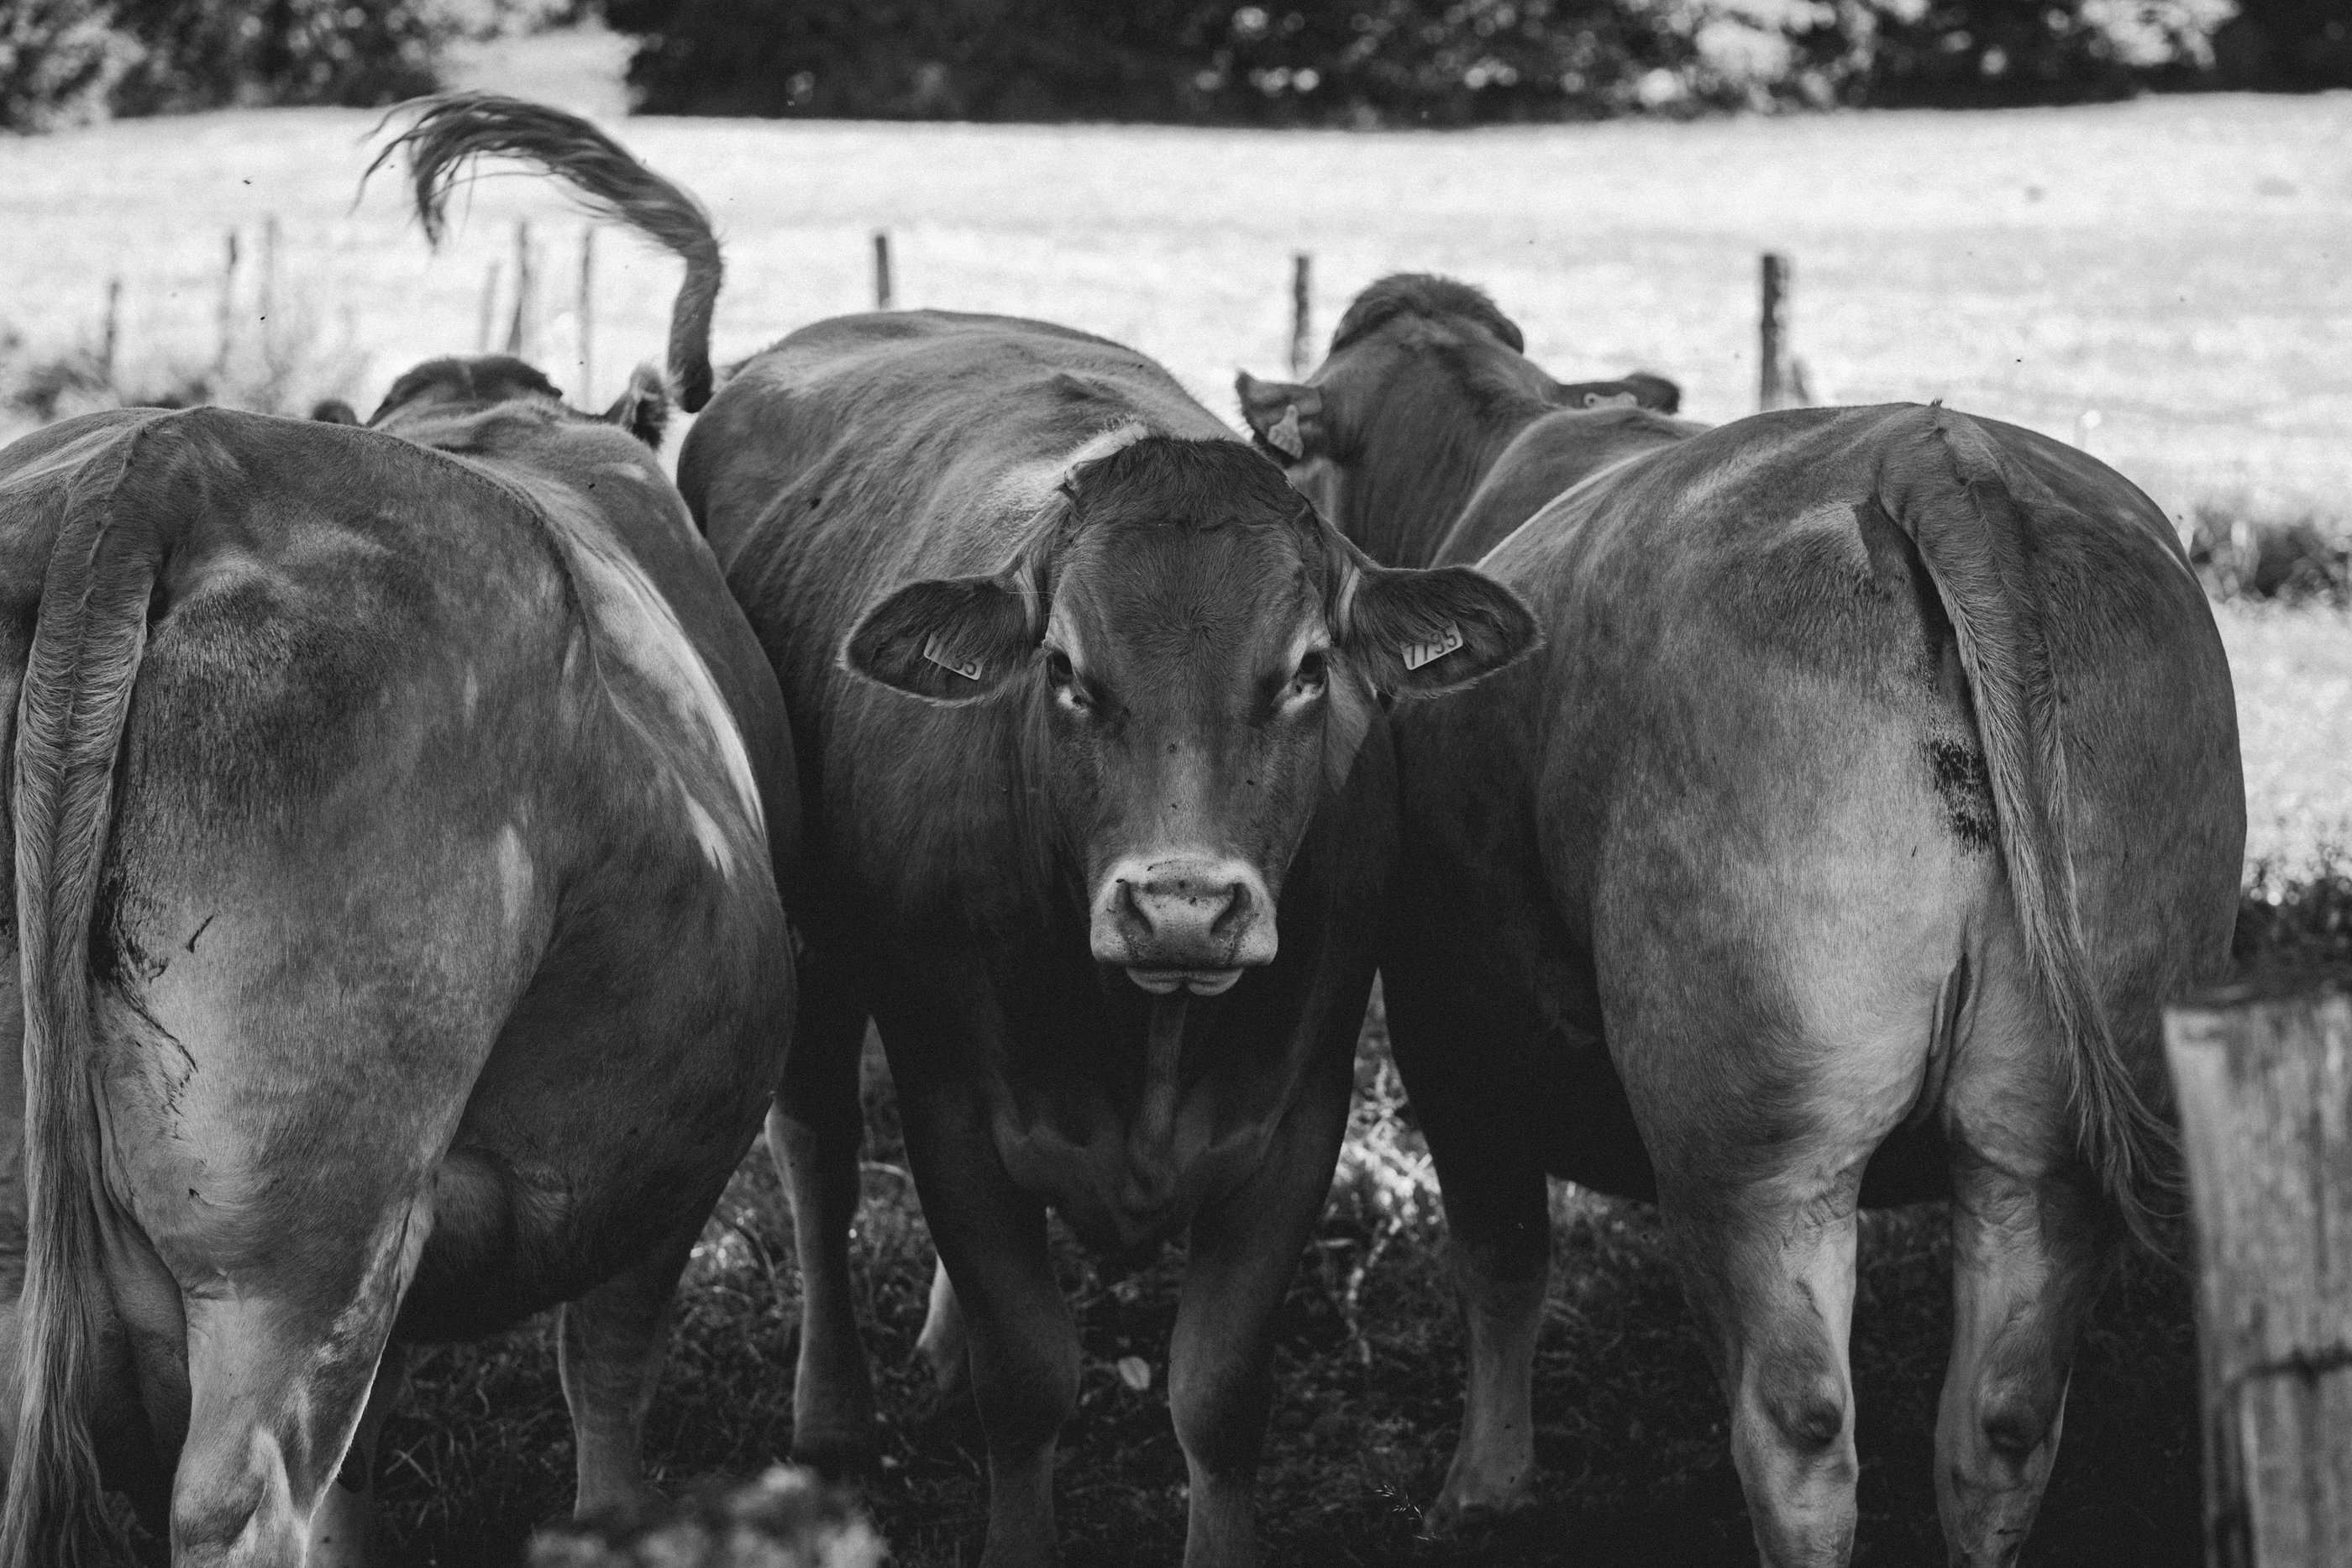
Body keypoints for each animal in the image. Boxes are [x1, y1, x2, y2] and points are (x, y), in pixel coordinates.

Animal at [385, 96, 1543, 1566]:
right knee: (820, 1162)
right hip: (819, 976)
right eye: (1066, 668)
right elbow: (1028, 1374)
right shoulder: (953, 1110)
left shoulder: (1297, 1121)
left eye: (1306, 668)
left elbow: (1218, 1395)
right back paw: (835, 1409)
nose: (1181, 904)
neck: (1144, 1037)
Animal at [1241, 275, 2245, 1566]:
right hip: (2053, 1124)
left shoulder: (1444, 1026)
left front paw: (1482, 1490)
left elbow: (1502, 1259)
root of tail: (1930, 447)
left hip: (1752, 1138)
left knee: (1799, 1423)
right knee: (2001, 1419)